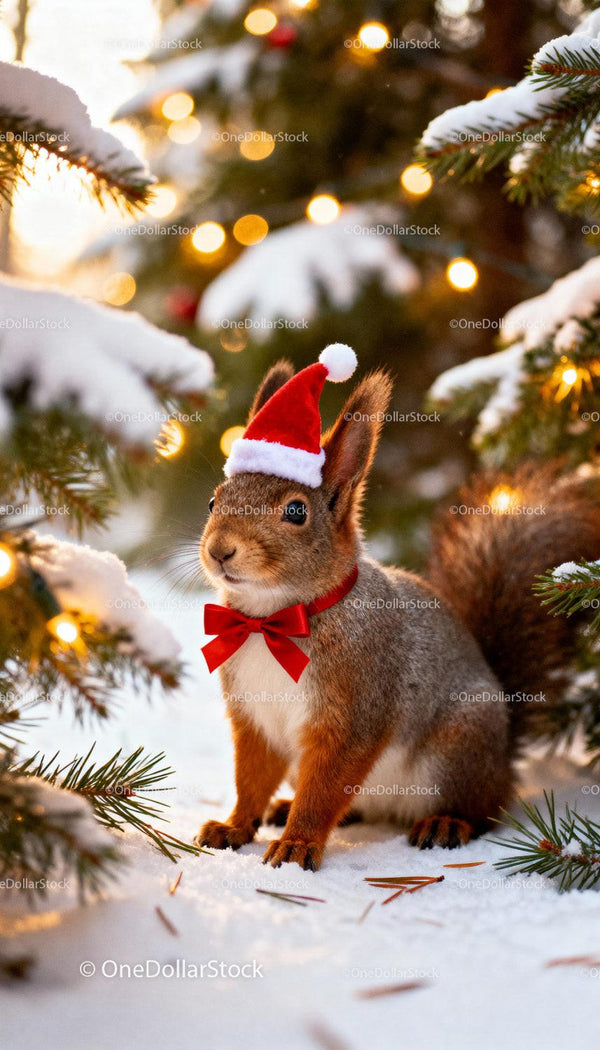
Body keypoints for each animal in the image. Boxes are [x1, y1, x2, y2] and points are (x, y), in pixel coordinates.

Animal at [195, 345, 600, 871]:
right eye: (213, 501)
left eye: (296, 511)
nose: (220, 550)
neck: (272, 621)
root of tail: (504, 754)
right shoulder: (254, 719)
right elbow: (251, 779)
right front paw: (234, 827)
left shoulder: (354, 713)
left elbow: (324, 788)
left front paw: (298, 844)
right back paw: (287, 807)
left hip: (458, 747)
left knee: (484, 809)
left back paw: (446, 823)